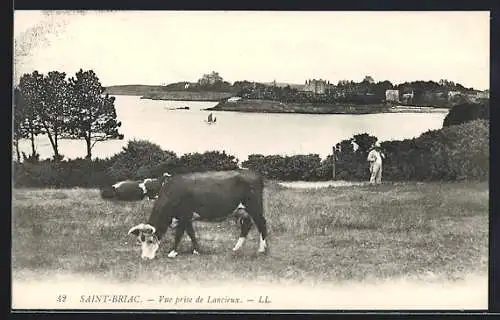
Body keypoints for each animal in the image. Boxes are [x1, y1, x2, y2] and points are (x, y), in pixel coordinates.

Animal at [129, 170, 270, 260]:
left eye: (150, 240)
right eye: (140, 240)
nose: (145, 258)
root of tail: (253, 173)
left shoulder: (184, 215)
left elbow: (179, 234)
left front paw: (172, 252)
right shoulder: (187, 218)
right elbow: (191, 233)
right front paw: (196, 250)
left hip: (254, 207)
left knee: (262, 223)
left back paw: (262, 249)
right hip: (242, 211)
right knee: (247, 225)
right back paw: (236, 248)